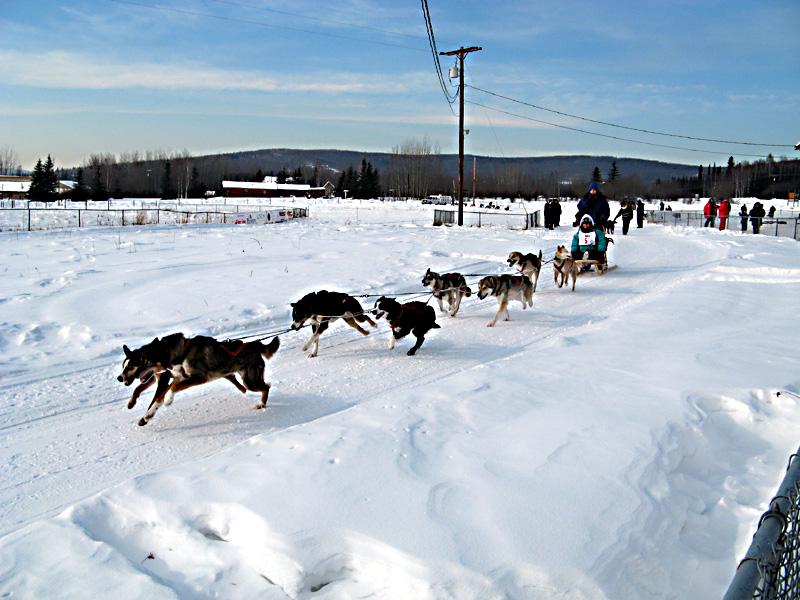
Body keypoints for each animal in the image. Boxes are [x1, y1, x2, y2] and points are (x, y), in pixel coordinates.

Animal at [117, 332, 282, 426]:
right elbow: (159, 397)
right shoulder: (178, 377)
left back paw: (261, 404)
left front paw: (168, 400)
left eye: (147, 362)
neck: (182, 352)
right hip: (248, 380)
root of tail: (254, 345)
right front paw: (148, 415)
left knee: (267, 387)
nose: (133, 376)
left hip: (250, 381)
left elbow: (172, 389)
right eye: (140, 361)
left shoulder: (199, 377)